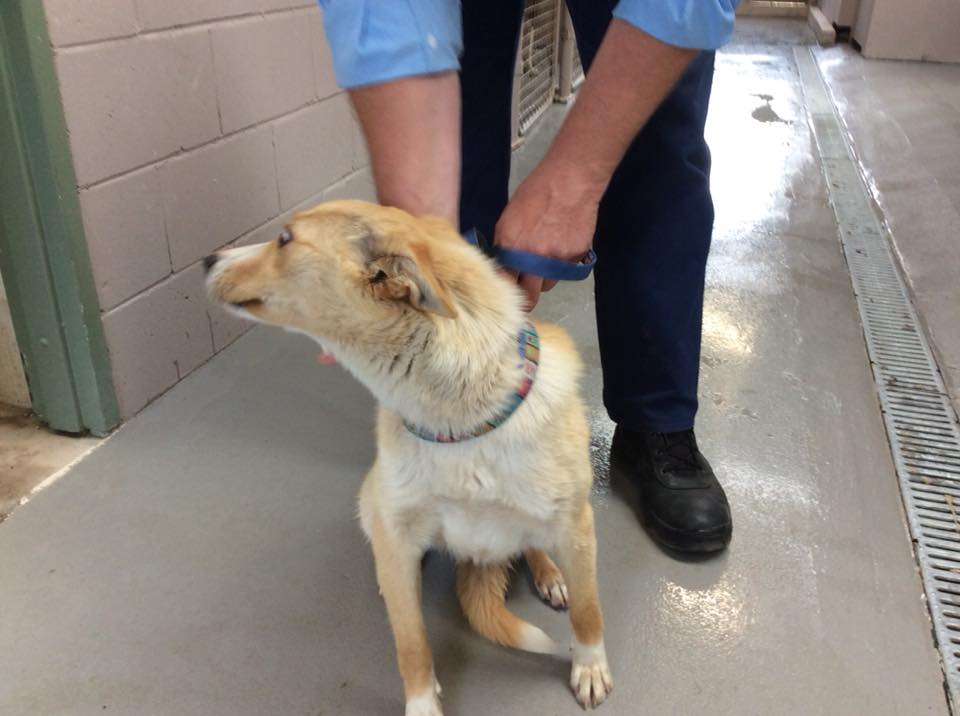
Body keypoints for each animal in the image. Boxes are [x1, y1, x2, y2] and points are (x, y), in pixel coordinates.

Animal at [205, 200, 612, 715]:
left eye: (284, 239)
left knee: (537, 547)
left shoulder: (577, 526)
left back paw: (550, 574)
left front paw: (590, 665)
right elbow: (412, 642)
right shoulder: (396, 535)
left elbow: (589, 609)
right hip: (370, 500)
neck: (459, 422)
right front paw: (422, 704)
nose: (207, 259)